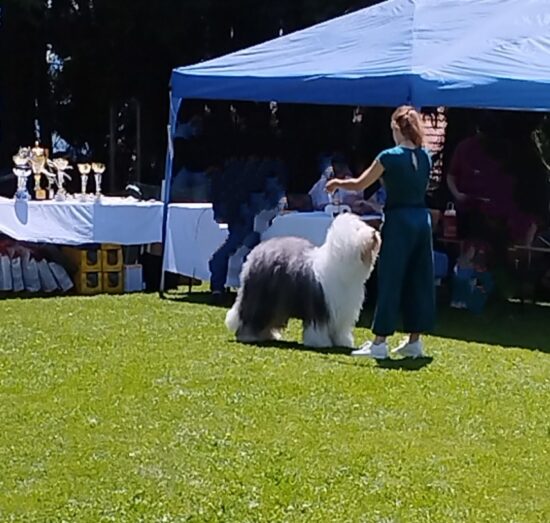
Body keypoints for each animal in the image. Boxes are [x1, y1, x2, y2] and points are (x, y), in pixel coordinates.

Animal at [225, 213, 381, 348]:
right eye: (357, 229)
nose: (374, 233)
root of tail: (256, 252)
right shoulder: (320, 306)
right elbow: (318, 327)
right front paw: (320, 343)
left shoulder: (342, 310)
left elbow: (340, 329)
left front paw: (343, 342)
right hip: (261, 298)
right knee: (251, 316)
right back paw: (248, 335)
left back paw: (269, 335)